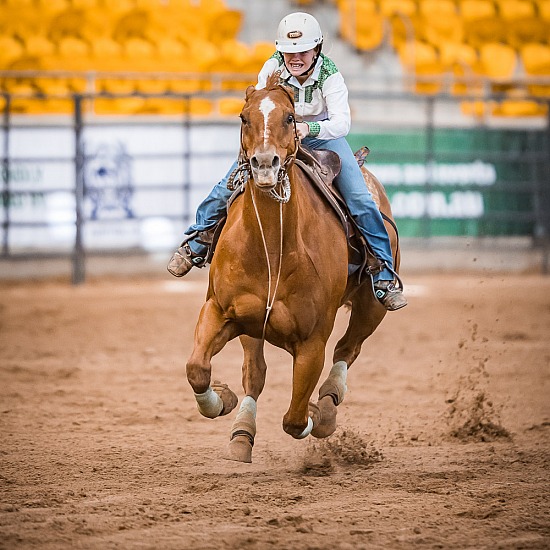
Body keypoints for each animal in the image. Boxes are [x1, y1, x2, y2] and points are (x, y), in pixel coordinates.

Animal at [187, 71, 402, 464]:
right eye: (243, 118)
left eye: (289, 118)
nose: (264, 164)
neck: (273, 248)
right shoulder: (221, 311)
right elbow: (198, 369)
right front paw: (222, 400)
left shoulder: (311, 343)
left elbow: (295, 418)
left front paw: (318, 416)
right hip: (252, 326)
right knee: (255, 374)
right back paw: (242, 432)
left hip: (372, 307)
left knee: (347, 349)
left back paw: (328, 405)